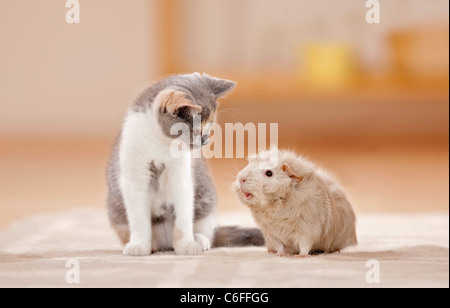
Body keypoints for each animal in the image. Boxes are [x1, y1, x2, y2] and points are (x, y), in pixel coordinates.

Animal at [107, 73, 266, 256]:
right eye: (195, 131)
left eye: (209, 127)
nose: (205, 140)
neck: (161, 143)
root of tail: (166, 243)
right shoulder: (135, 177)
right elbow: (138, 217)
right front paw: (139, 245)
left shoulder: (182, 174)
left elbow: (183, 213)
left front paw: (186, 244)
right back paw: (151, 245)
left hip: (206, 203)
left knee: (206, 230)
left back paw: (199, 240)